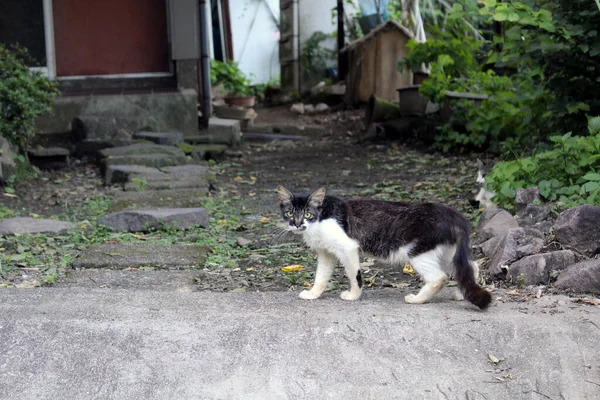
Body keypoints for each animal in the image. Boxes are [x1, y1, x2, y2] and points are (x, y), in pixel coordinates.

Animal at [278, 187, 492, 310]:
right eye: (289, 213)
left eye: (307, 213)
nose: (297, 224)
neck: (320, 219)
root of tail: (454, 215)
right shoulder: (326, 253)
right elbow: (321, 277)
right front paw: (313, 294)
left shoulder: (348, 247)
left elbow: (354, 275)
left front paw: (353, 296)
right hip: (446, 252)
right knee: (471, 267)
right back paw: (460, 294)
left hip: (417, 252)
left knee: (439, 278)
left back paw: (417, 299)